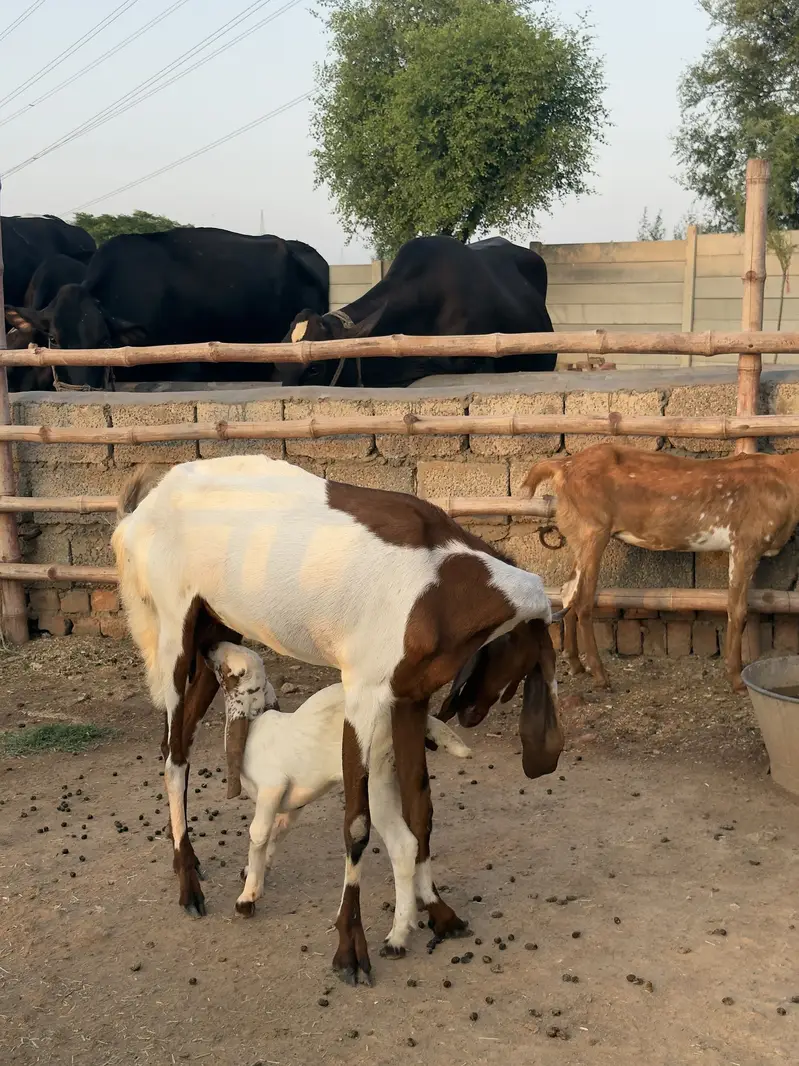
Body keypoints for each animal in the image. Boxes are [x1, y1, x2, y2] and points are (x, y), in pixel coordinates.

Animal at [207, 642, 470, 931]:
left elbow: (259, 833)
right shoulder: (294, 802)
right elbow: (278, 830)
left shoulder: (271, 787)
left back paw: (399, 931)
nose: (211, 646)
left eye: (230, 670)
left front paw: (247, 898)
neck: (254, 729)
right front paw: (256, 872)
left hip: (376, 780)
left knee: (403, 844)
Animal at [523, 442, 799, 692]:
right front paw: (737, 680)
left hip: (577, 533)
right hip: (593, 529)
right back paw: (601, 676)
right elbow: (738, 609)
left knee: (568, 590)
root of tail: (562, 466)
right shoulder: (746, 542)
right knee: (583, 601)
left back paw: (576, 664)